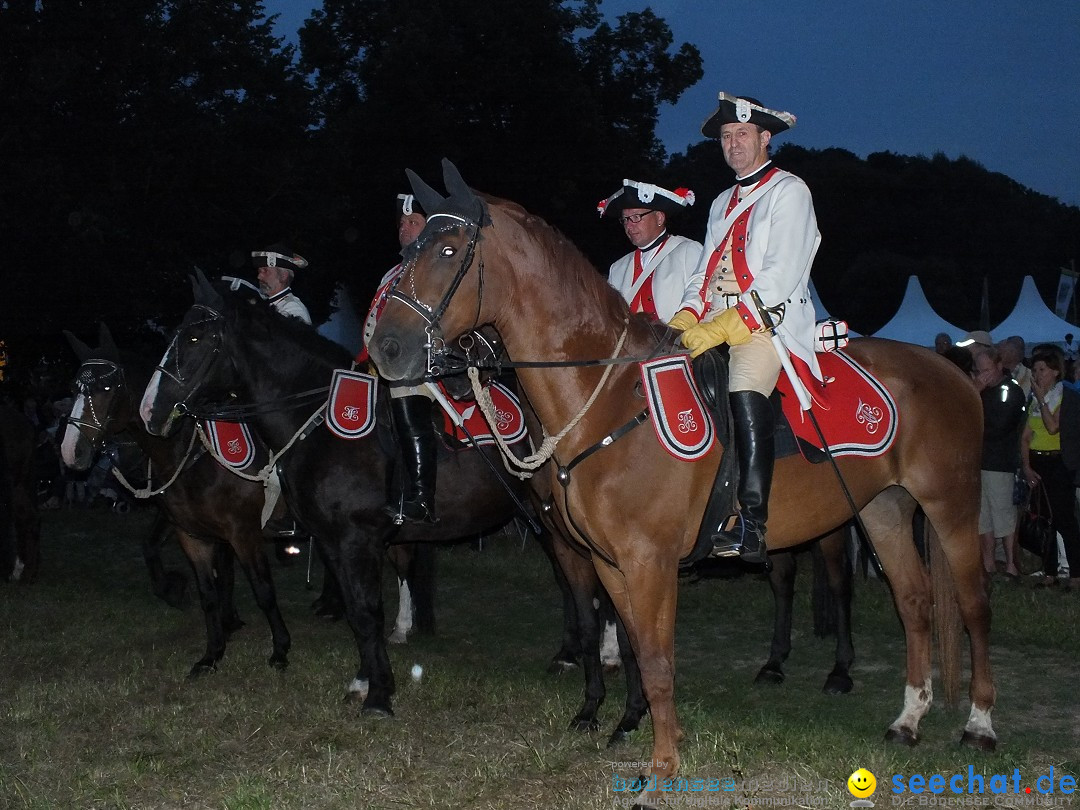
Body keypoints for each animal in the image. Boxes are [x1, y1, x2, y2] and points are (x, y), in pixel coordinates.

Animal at [369, 159, 993, 807]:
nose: (385, 348)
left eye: (447, 250)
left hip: (951, 506)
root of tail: (949, 367)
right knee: (914, 601)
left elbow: (659, 662)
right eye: (409, 249)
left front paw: (662, 769)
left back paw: (978, 724)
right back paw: (909, 719)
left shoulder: (650, 561)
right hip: (883, 509)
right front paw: (636, 730)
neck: (608, 398)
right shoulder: (610, 562)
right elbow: (638, 650)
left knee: (973, 604)